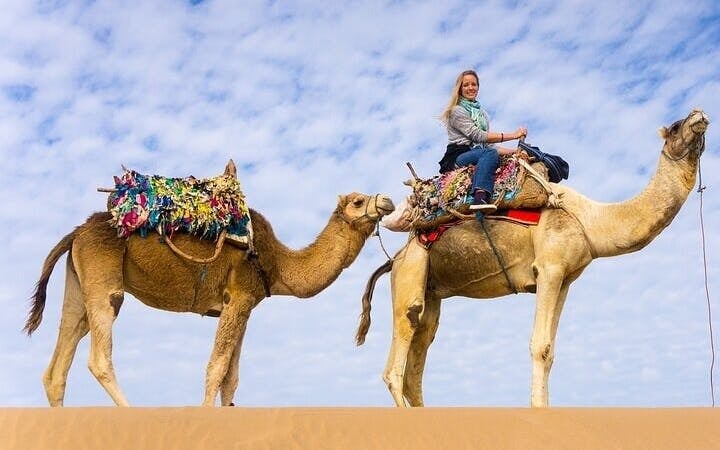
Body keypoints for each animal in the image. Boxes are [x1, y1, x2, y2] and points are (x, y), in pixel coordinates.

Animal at [24, 167, 395, 406]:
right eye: (357, 201)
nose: (387, 201)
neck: (276, 262)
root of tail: (76, 233)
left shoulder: (243, 304)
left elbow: (231, 379)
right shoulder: (240, 294)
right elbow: (216, 369)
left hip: (79, 281)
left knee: (59, 361)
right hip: (104, 278)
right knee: (99, 357)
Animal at [356, 109, 709, 407]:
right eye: (676, 126)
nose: (700, 115)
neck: (589, 220)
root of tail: (395, 258)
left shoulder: (565, 278)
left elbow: (550, 350)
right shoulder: (549, 267)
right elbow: (539, 347)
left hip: (431, 289)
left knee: (418, 361)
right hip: (411, 272)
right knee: (396, 363)